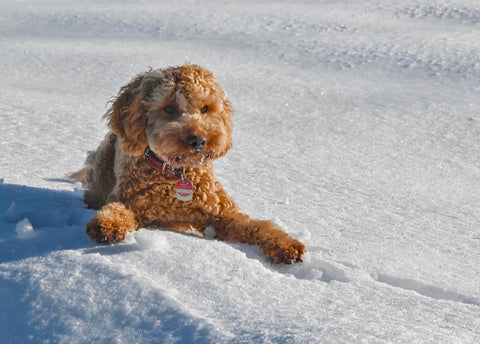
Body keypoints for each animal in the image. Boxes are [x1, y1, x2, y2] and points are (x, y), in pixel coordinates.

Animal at [74, 63, 308, 264]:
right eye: (168, 109)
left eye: (205, 108)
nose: (198, 140)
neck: (175, 174)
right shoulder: (128, 201)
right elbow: (116, 209)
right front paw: (108, 224)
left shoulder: (224, 215)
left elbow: (259, 227)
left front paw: (285, 244)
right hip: (102, 171)